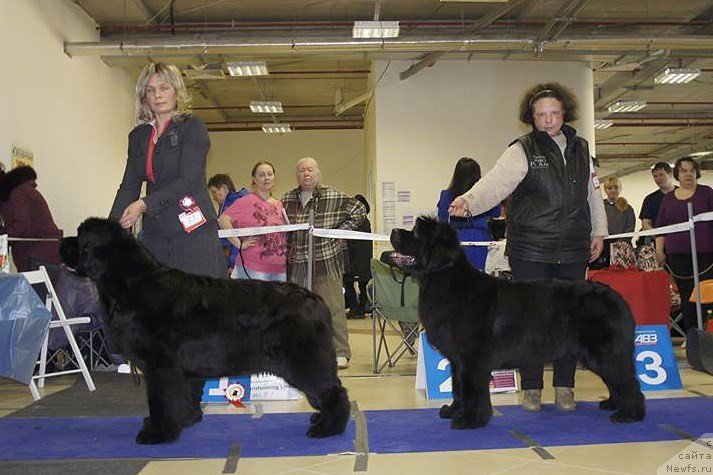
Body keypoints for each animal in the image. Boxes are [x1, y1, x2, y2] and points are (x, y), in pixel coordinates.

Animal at [61, 218, 350, 444]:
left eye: (80, 236)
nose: (61, 241)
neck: (131, 283)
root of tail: (313, 298)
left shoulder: (160, 366)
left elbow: (160, 400)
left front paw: (158, 433)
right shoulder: (176, 370)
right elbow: (181, 397)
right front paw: (186, 420)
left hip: (302, 360)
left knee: (333, 391)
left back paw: (328, 428)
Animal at [390, 218, 644, 432]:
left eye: (416, 233)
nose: (393, 231)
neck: (446, 281)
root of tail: (617, 297)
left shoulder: (472, 359)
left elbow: (472, 390)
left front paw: (471, 420)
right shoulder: (458, 360)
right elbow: (457, 387)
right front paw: (454, 411)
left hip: (605, 352)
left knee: (627, 381)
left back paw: (630, 414)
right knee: (617, 380)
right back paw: (612, 404)